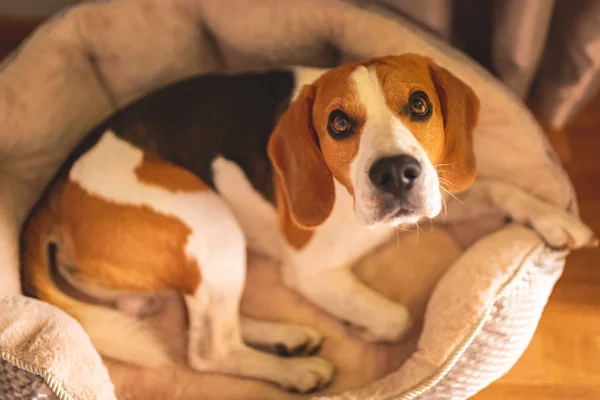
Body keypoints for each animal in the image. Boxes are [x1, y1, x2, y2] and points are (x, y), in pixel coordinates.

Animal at [21, 54, 596, 394]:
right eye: (338, 123)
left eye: (420, 105)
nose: (395, 173)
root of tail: (53, 194)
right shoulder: (311, 272)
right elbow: (393, 318)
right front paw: (362, 325)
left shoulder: (436, 188)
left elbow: (497, 187)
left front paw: (554, 218)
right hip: (211, 221)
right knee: (208, 347)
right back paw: (296, 370)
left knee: (198, 318)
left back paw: (285, 338)